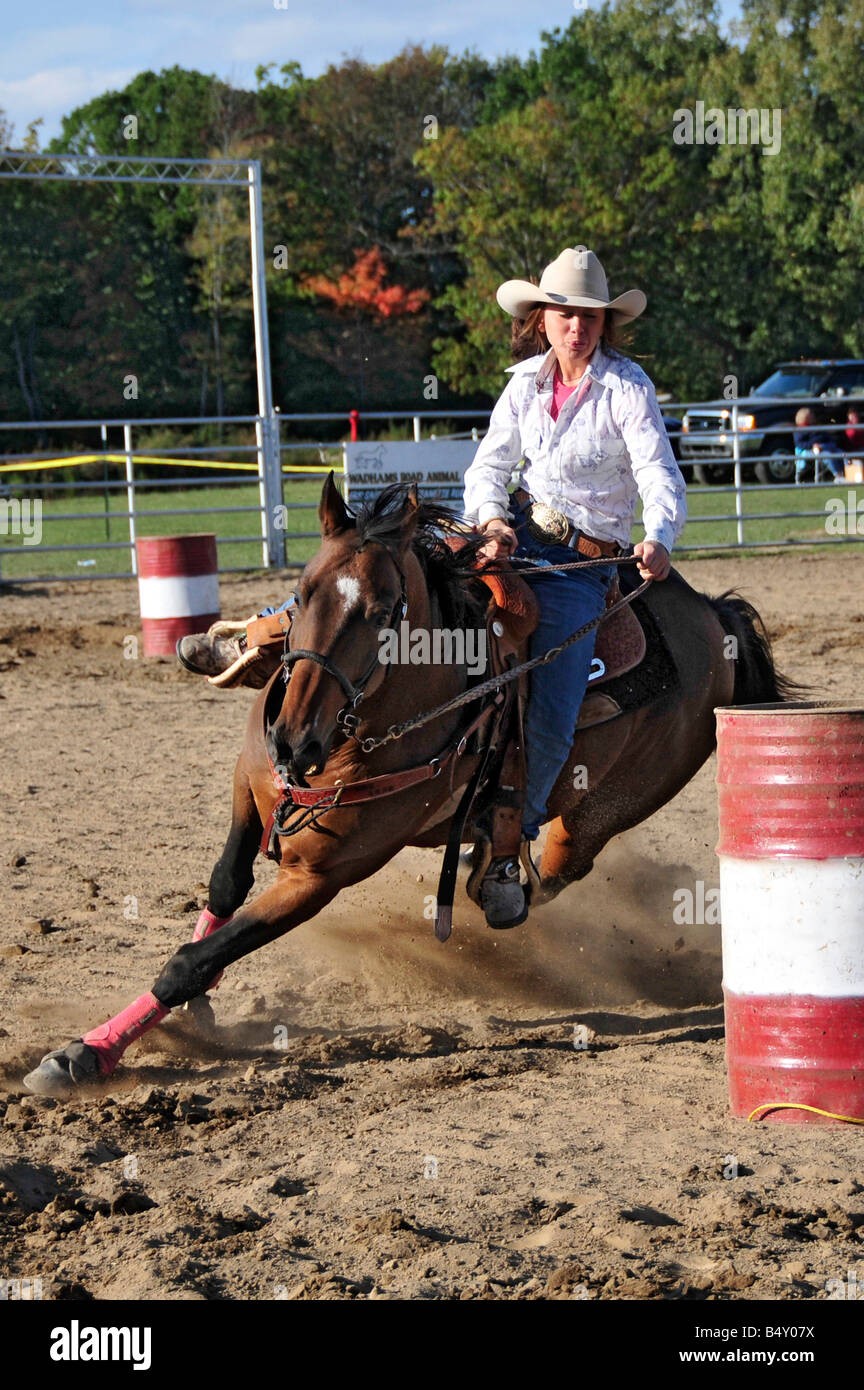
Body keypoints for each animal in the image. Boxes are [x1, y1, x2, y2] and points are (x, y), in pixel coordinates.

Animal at [23, 478, 794, 1095]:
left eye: (383, 609)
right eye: (303, 591)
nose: (292, 740)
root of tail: (714, 616)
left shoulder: (325, 874)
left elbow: (192, 959)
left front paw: (86, 1054)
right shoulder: (248, 787)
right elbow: (221, 890)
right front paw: (195, 1008)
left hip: (607, 809)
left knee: (553, 865)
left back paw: (500, 874)